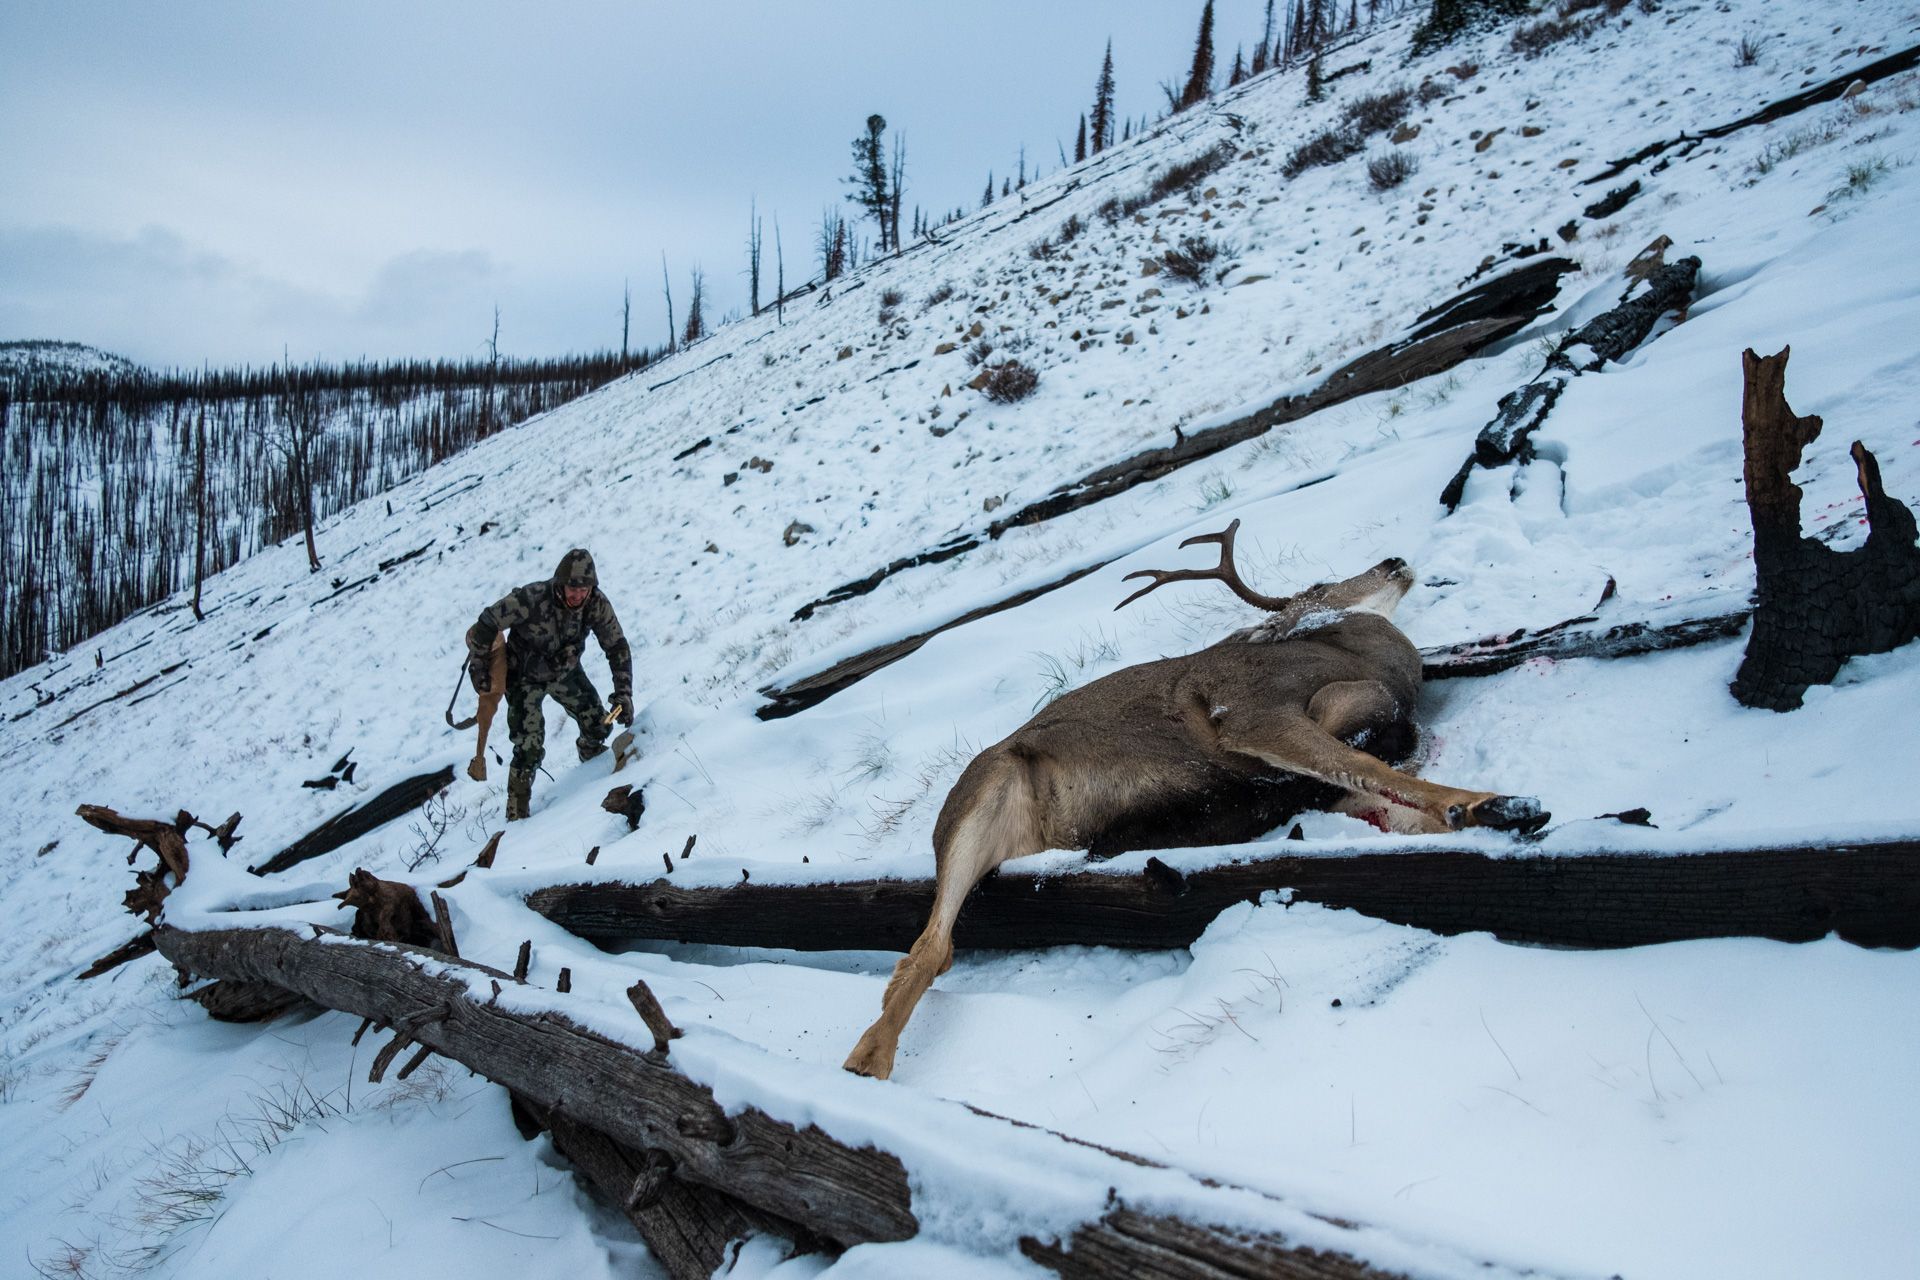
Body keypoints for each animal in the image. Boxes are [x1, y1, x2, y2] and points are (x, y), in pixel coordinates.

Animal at [843, 520, 1547, 1079]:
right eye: (1321, 587)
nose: (1393, 560)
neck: (1360, 660)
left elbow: (1378, 786)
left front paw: (1478, 812)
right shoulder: (1252, 712)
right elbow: (1362, 762)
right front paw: (1493, 803)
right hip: (984, 789)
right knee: (932, 945)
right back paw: (866, 1061)